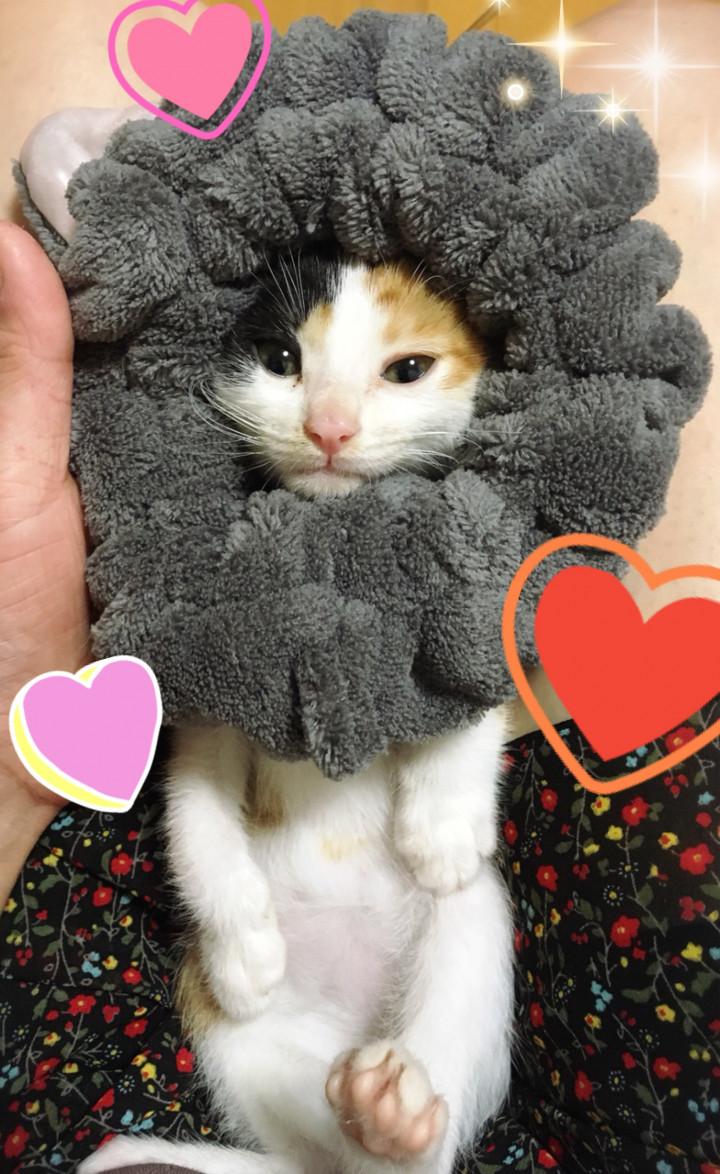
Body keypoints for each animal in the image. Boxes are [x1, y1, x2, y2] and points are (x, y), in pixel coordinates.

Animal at [80, 249, 514, 1174]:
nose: (331, 427)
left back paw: (394, 1115)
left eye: (407, 369)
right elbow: (194, 813)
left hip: (471, 932)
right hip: (229, 1038)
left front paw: (445, 820)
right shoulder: (211, 701)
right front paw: (240, 937)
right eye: (283, 362)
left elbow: (468, 686)